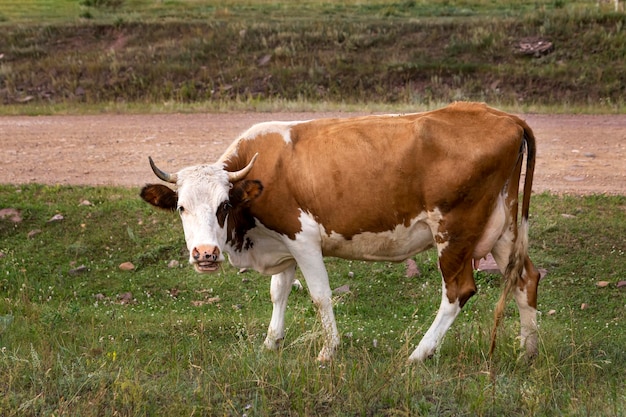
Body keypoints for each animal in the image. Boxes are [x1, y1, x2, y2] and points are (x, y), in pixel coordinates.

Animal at [139, 101, 540, 360]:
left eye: (223, 205)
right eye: (181, 207)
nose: (205, 255)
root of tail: (505, 117)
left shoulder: (302, 239)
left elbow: (320, 295)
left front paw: (327, 352)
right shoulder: (282, 244)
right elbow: (278, 292)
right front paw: (271, 342)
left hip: (454, 231)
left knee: (458, 291)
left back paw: (418, 354)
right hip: (503, 228)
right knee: (525, 278)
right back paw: (528, 350)